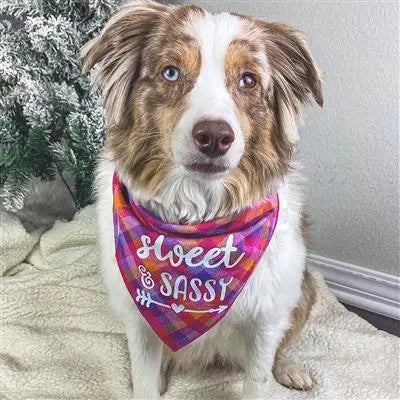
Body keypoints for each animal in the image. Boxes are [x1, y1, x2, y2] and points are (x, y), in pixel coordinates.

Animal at [81, 1, 322, 398]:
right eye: (171, 72)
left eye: (248, 80)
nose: (213, 136)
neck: (198, 219)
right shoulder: (140, 317)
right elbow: (144, 377)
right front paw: (150, 381)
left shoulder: (267, 317)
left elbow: (259, 376)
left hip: (304, 289)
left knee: (280, 349)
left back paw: (288, 369)